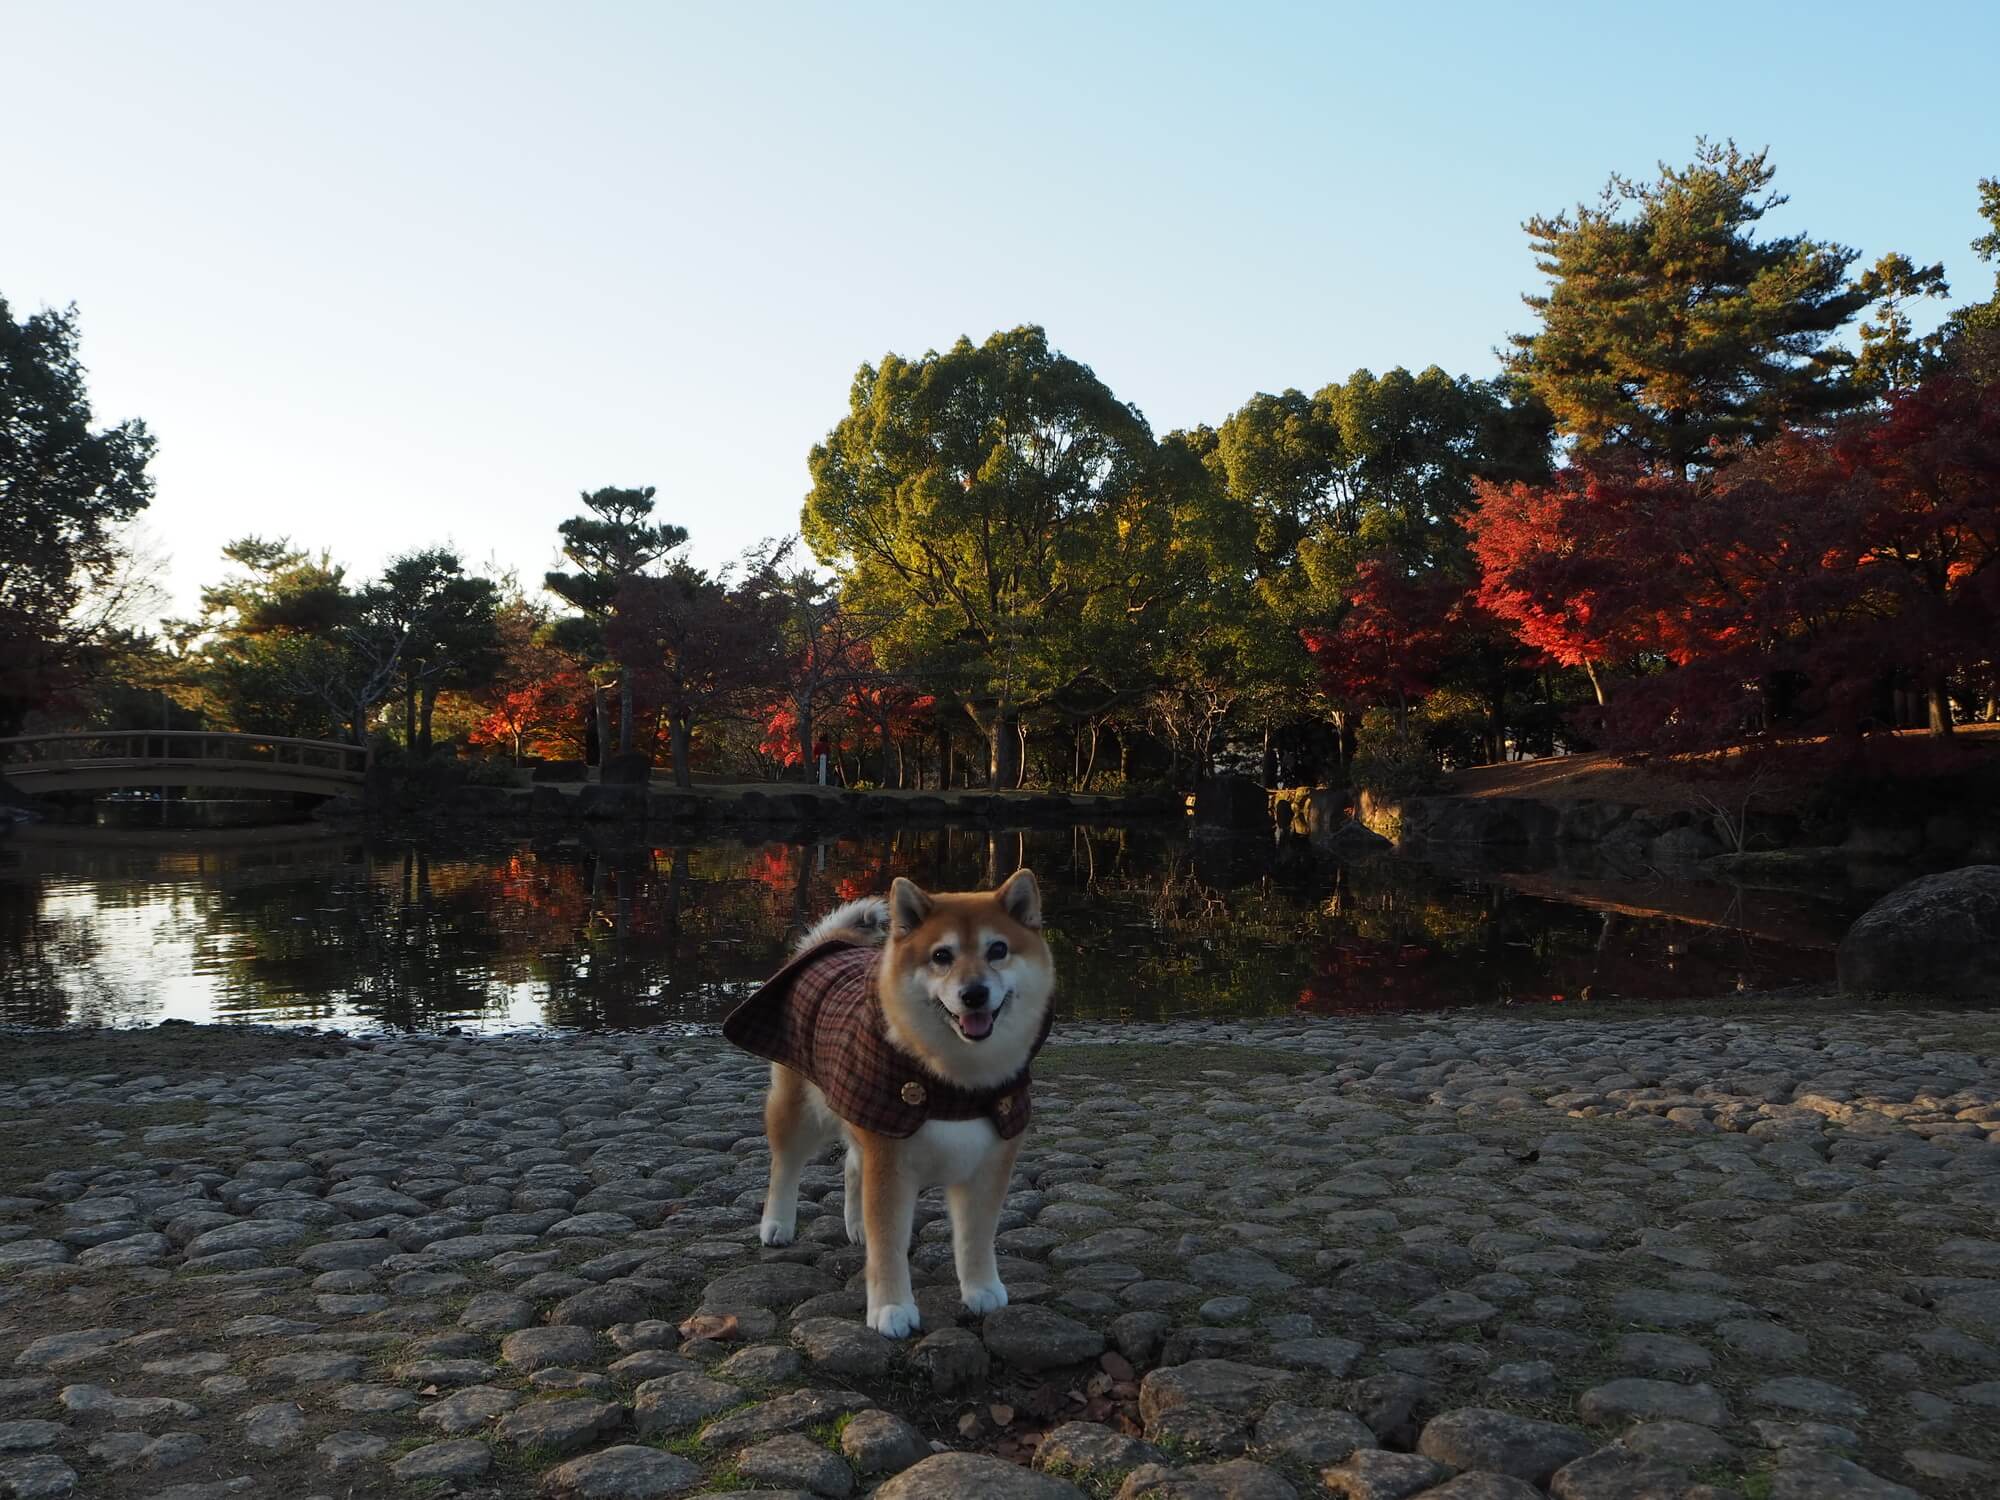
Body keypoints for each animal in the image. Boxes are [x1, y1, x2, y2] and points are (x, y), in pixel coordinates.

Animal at [724, 868, 1064, 1336]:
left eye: (998, 950)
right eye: (941, 955)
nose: (974, 993)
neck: (955, 1082)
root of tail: (829, 944)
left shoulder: (990, 1159)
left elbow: (976, 1237)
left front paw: (981, 1288)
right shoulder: (890, 1161)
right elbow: (888, 1243)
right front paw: (891, 1307)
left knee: (852, 1165)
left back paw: (855, 1224)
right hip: (801, 1112)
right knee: (786, 1166)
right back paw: (777, 1223)